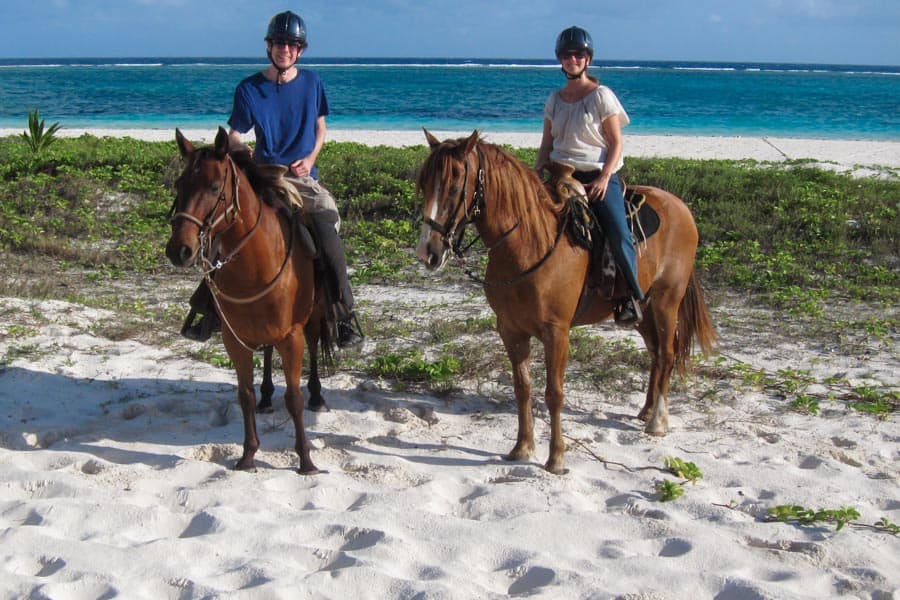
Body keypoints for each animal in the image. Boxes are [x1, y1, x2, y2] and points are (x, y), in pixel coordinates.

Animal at [164, 127, 326, 474]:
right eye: (179, 185)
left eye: (214, 187)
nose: (179, 250)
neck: (256, 265)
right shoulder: (233, 339)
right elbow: (244, 395)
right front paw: (248, 455)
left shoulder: (292, 337)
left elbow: (294, 399)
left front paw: (306, 460)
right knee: (265, 354)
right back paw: (266, 399)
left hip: (314, 317)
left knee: (316, 344)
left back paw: (318, 395)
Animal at [416, 131, 716, 474]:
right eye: (424, 184)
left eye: (454, 187)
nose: (427, 252)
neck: (528, 244)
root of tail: (680, 207)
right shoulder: (510, 331)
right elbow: (522, 388)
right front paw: (522, 448)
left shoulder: (556, 333)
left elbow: (554, 393)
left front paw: (556, 457)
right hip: (643, 308)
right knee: (655, 352)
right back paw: (646, 410)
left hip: (668, 301)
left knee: (666, 353)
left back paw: (657, 421)